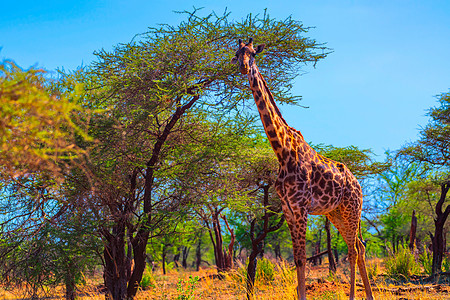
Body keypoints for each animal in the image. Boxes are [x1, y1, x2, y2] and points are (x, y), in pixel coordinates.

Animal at [232, 38, 372, 300]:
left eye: (253, 54)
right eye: (237, 54)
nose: (244, 67)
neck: (282, 151)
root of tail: (358, 184)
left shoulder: (301, 207)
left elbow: (303, 259)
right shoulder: (288, 208)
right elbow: (297, 259)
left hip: (352, 209)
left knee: (354, 249)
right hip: (336, 213)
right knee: (358, 246)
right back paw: (368, 295)